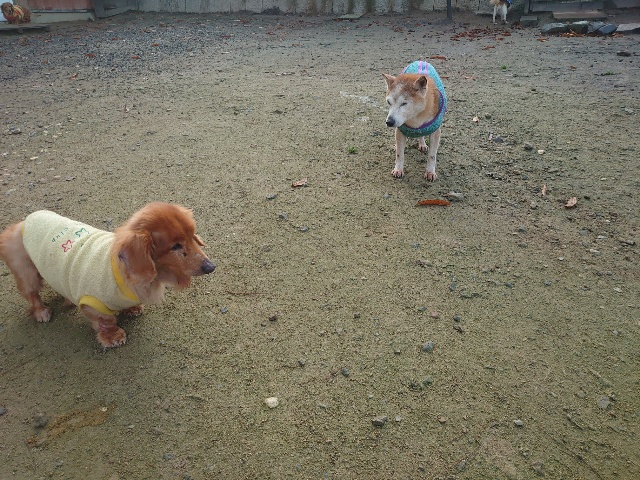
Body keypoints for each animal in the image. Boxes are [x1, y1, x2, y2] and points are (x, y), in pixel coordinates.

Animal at [0, 202, 216, 348]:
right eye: (175, 247)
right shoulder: (93, 303)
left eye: (192, 236)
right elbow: (106, 321)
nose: (211, 267)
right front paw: (113, 337)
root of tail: (23, 222)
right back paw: (41, 312)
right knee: (32, 295)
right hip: (27, 272)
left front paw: (132, 308)